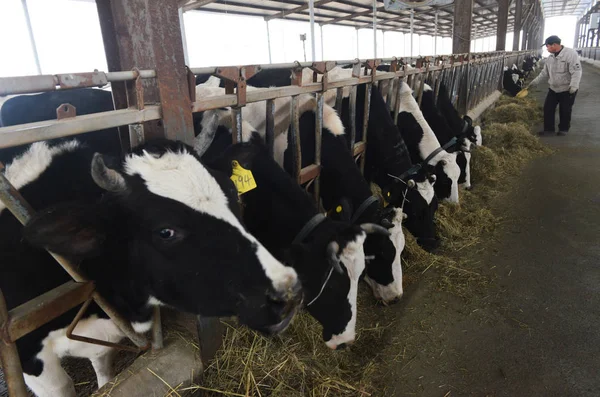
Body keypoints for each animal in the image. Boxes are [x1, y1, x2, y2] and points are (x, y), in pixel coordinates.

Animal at [0, 90, 300, 396]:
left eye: (231, 193)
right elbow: (63, 385)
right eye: (165, 232)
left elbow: (104, 369)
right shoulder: (29, 356)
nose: (288, 291)